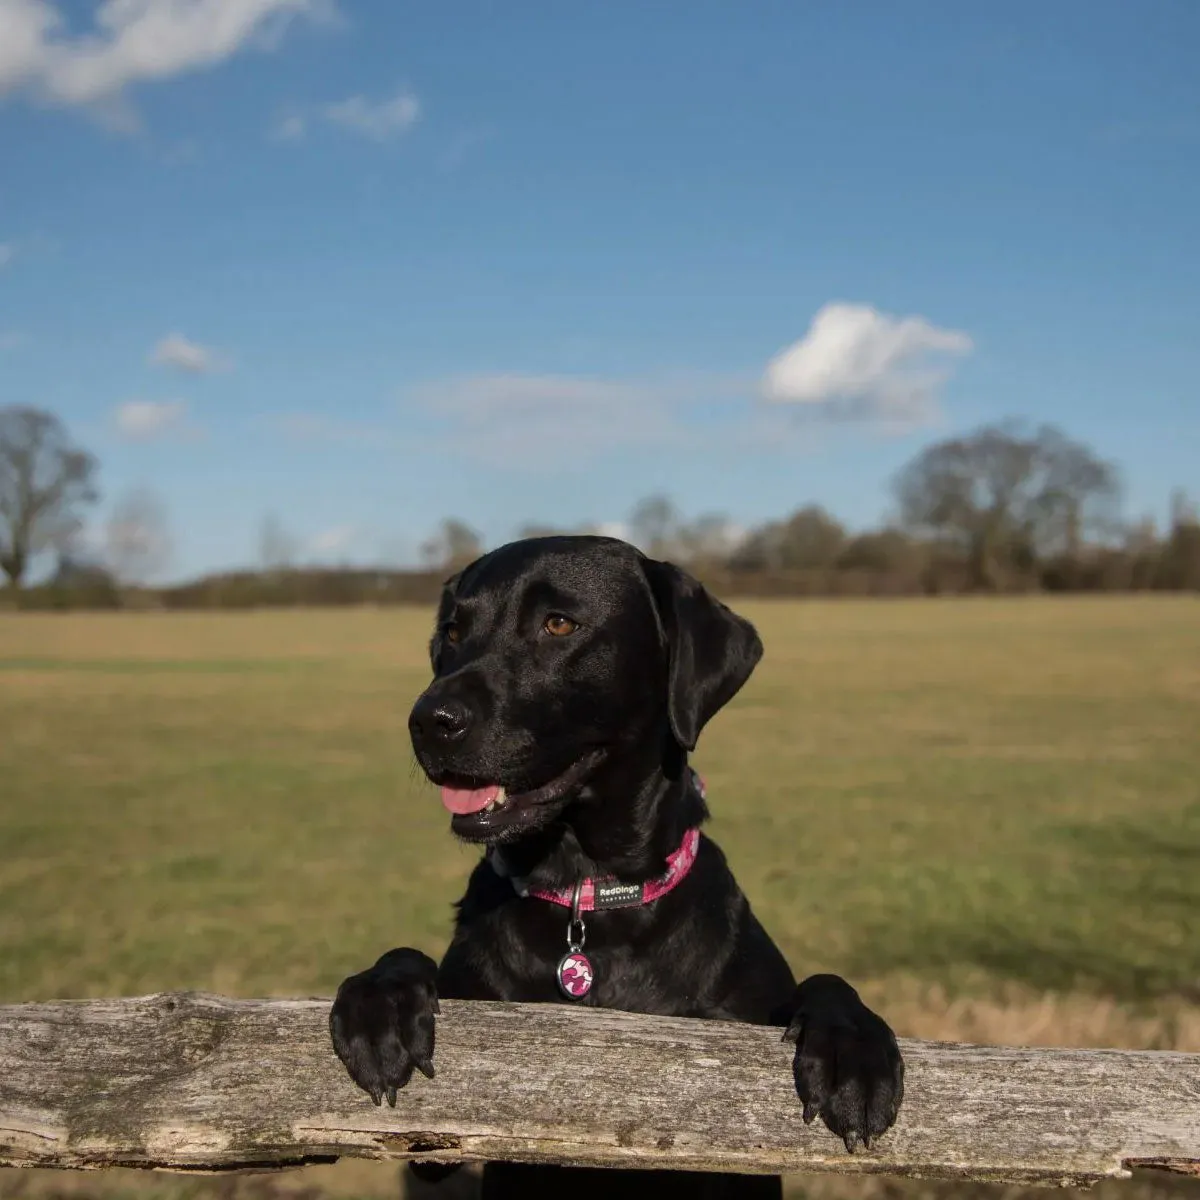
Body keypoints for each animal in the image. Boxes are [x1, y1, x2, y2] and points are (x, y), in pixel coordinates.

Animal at [328, 540, 902, 1195]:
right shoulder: (437, 1142)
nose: (429, 720)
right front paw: (381, 1005)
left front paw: (853, 1053)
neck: (589, 895)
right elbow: (404, 958)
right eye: (453, 630)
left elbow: (825, 983)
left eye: (559, 624)